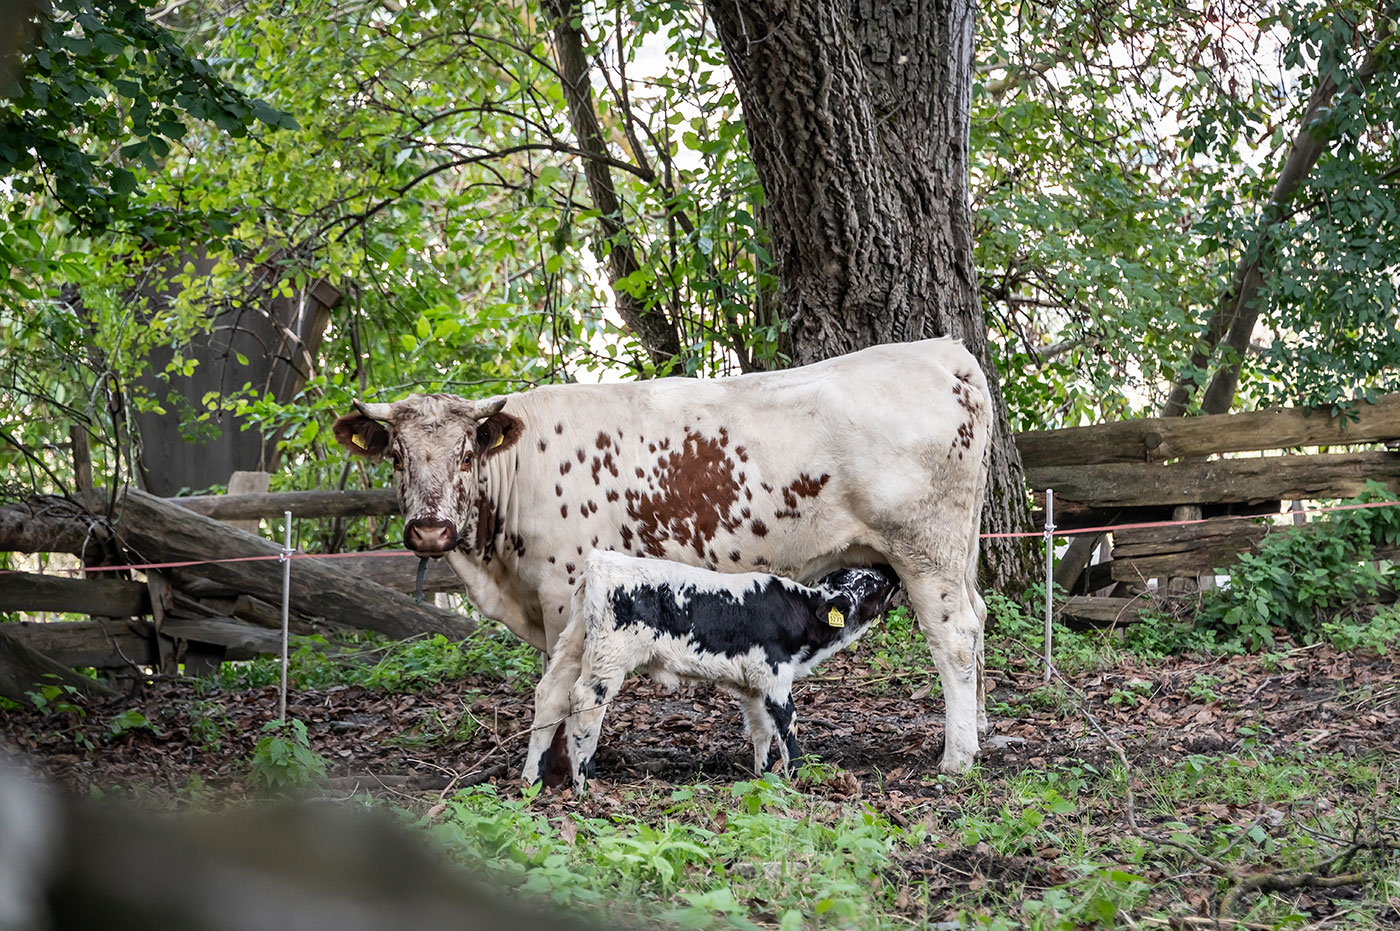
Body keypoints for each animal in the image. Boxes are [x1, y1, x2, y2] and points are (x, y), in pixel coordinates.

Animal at [524, 552, 902, 790]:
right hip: (609, 655)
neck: (801, 612)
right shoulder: (775, 677)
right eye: (872, 583)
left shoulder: (752, 686)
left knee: (550, 697)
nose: (891, 572)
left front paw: (763, 776)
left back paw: (532, 781)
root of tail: (599, 562)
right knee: (585, 704)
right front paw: (798, 777)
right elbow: (787, 724)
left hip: (575, 644)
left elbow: (760, 730)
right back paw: (584, 783)